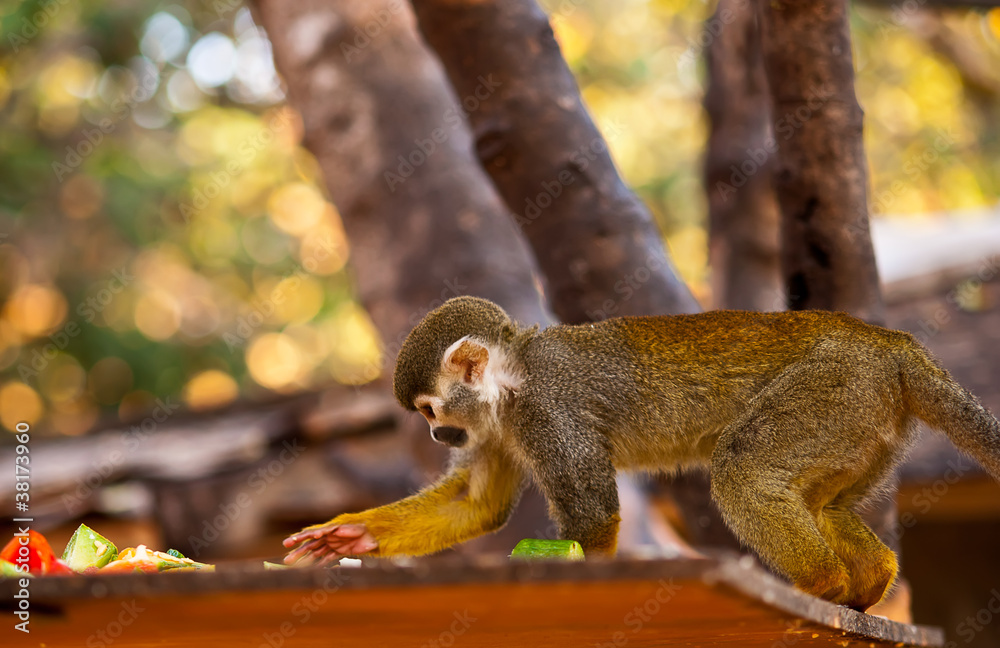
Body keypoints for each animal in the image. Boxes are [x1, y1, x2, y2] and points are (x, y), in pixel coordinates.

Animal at [284, 296, 1000, 611]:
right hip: (865, 417)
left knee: (742, 470)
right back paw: (868, 579)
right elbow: (476, 504)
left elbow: (593, 516)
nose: (437, 436)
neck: (510, 381)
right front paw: (347, 536)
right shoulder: (502, 425)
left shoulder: (545, 410)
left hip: (833, 388)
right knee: (824, 499)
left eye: (431, 412)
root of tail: (889, 341)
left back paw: (820, 583)